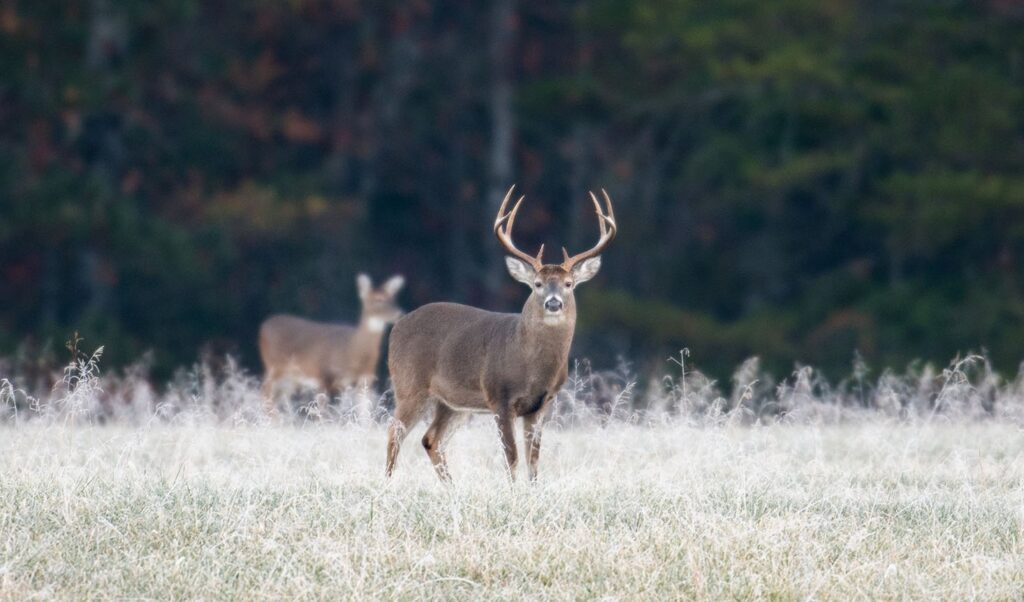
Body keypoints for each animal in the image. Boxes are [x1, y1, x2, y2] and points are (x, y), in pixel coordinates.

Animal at [260, 274, 403, 415]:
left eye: (393, 298)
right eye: (378, 299)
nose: (398, 312)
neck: (352, 351)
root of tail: (263, 326)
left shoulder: (364, 380)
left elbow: (362, 413)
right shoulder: (323, 375)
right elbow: (325, 412)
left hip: (291, 377)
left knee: (279, 398)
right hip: (274, 366)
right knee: (266, 393)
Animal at [382, 185, 606, 481]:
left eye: (569, 284)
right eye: (537, 284)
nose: (553, 303)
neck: (531, 364)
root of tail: (396, 327)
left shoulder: (541, 405)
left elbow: (533, 461)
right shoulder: (499, 396)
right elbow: (511, 457)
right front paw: (512, 490)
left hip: (452, 402)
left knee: (431, 439)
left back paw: (452, 489)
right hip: (410, 384)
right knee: (394, 433)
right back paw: (387, 484)